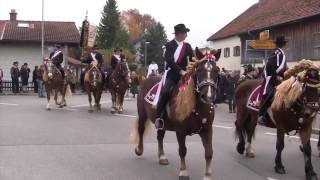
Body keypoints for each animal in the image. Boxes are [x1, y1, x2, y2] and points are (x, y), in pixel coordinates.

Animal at [132, 48, 220, 180]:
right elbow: (182, 150)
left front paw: (207, 176)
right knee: (141, 130)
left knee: (160, 137)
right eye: (199, 70)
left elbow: (209, 152)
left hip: (161, 123)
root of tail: (146, 80)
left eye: (217, 70)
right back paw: (139, 149)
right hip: (142, 115)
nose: (208, 96)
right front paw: (183, 172)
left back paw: (162, 157)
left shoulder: (207, 130)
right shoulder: (180, 131)